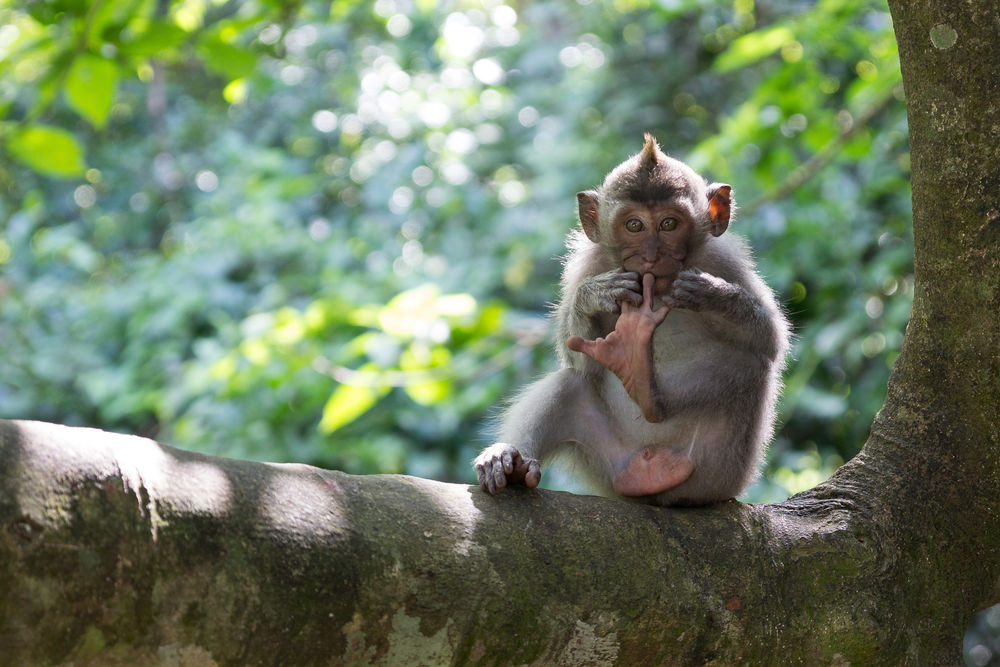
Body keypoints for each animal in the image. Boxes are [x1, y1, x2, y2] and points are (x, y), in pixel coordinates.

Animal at [472, 133, 792, 504]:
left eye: (669, 224)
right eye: (634, 225)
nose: (651, 256)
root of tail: (650, 472)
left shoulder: (723, 259)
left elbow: (771, 338)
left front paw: (710, 293)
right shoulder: (588, 264)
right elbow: (575, 356)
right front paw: (593, 297)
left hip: (716, 471)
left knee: (751, 363)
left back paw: (643, 383)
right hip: (608, 465)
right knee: (570, 381)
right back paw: (512, 462)